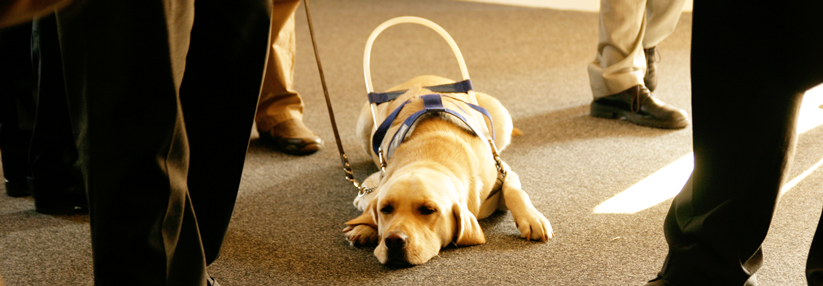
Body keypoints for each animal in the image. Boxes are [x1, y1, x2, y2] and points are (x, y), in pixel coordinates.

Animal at [342, 75, 552, 264]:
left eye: (428, 210)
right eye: (386, 209)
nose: (394, 241)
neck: (431, 158)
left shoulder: (501, 169)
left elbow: (515, 191)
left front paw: (531, 218)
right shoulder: (370, 185)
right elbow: (369, 206)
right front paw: (364, 227)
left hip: (501, 117)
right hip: (364, 126)